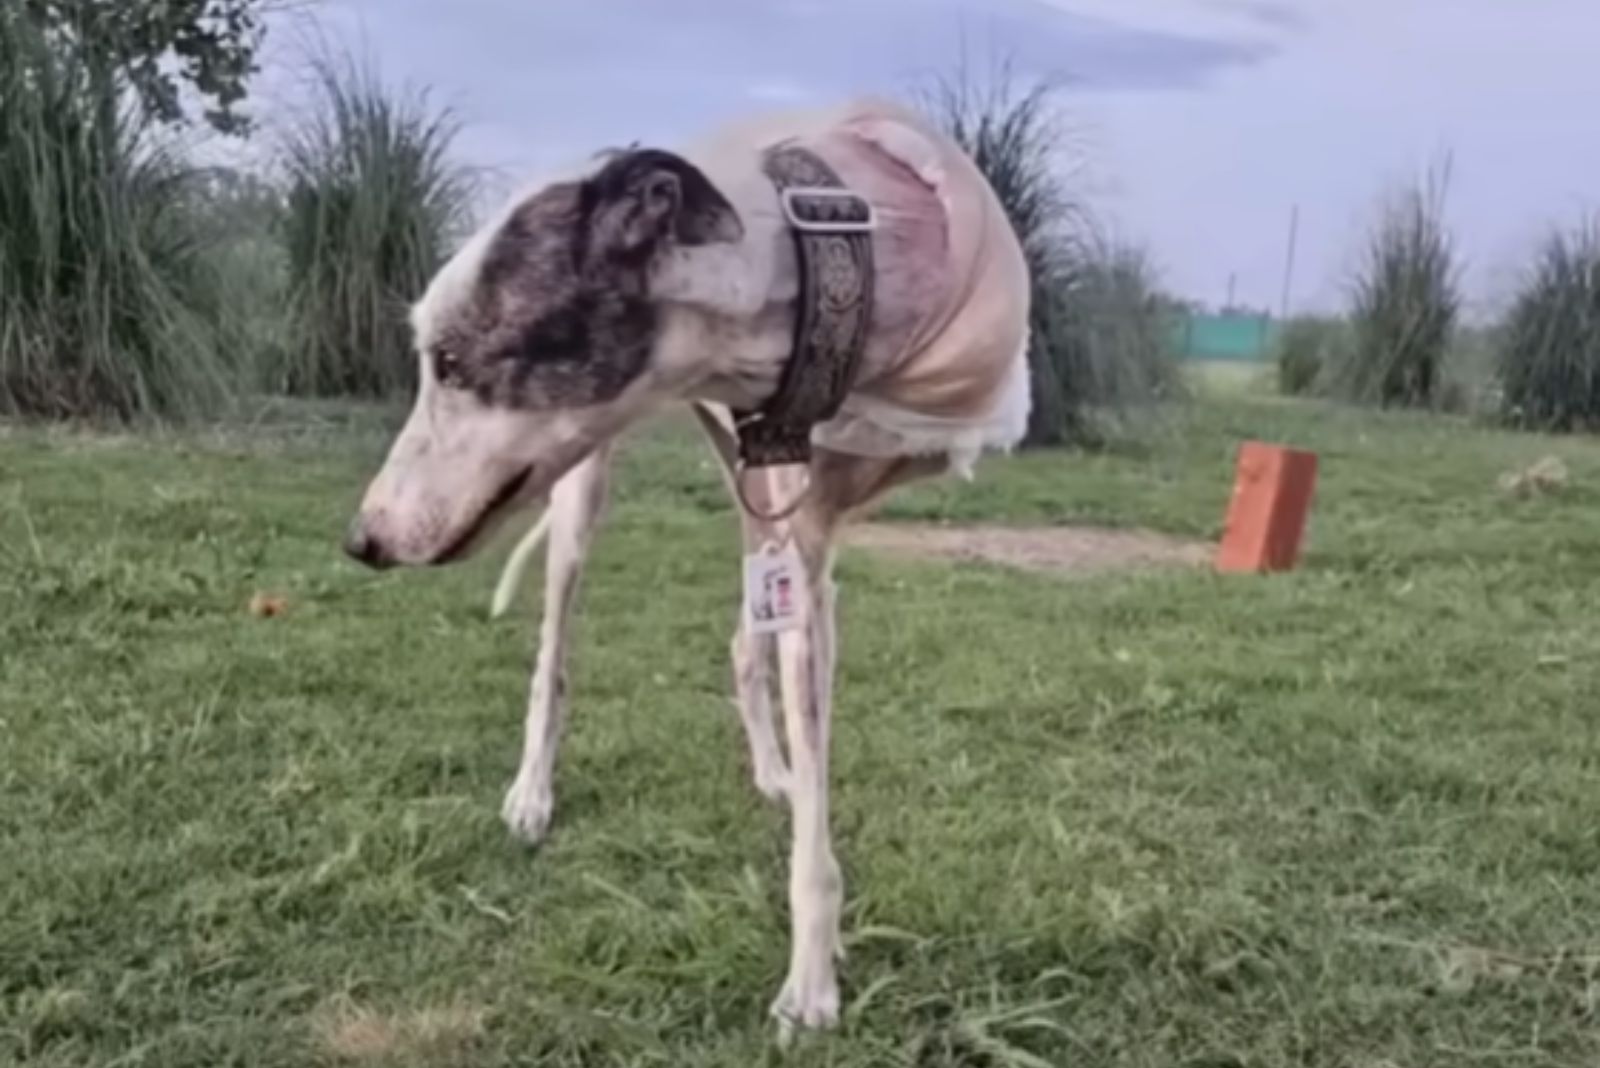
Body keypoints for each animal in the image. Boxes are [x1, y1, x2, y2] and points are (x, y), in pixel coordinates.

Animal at [344, 95, 1030, 1029]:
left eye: (449, 360)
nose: (362, 539)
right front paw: (812, 982)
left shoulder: (808, 529)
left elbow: (807, 750)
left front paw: (811, 960)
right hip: (581, 491)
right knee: (554, 658)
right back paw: (534, 794)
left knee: (746, 644)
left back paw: (775, 771)